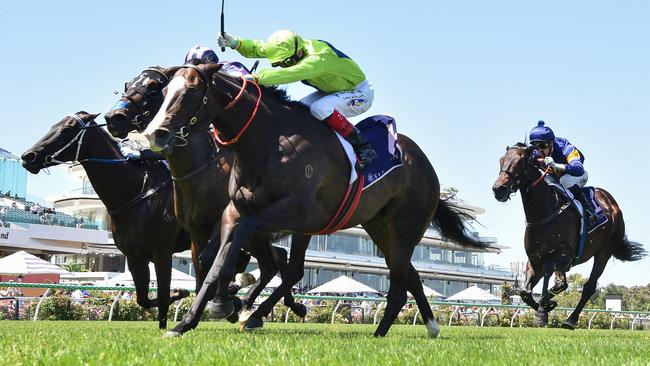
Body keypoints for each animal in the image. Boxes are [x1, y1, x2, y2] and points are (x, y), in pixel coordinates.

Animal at [21, 111, 194, 328]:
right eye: (53, 126)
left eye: (68, 128)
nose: (28, 156)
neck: (138, 193)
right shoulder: (134, 256)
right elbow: (143, 299)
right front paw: (180, 292)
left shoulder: (162, 252)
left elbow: (162, 298)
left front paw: (178, 297)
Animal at [104, 66, 306, 320]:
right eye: (128, 84)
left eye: (153, 87)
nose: (114, 118)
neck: (201, 167)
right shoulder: (193, 231)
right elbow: (203, 267)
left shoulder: (220, 223)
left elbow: (213, 260)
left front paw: (227, 297)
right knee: (274, 260)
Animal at [492, 143, 644, 328]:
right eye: (501, 160)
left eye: (520, 162)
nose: (498, 189)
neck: (544, 214)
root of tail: (612, 203)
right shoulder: (536, 260)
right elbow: (525, 292)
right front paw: (544, 309)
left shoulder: (564, 255)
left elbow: (560, 284)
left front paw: (544, 309)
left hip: (604, 253)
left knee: (589, 287)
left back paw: (571, 319)